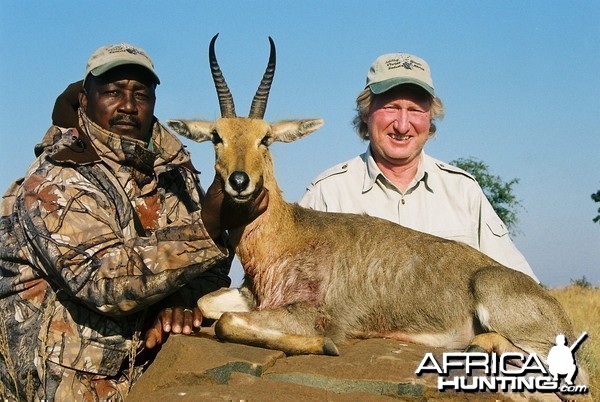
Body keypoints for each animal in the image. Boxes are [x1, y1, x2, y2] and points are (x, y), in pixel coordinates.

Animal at [168, 36, 576, 370]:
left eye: (265, 138)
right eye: (216, 136)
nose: (240, 182)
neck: (290, 235)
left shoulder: (310, 313)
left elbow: (226, 323)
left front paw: (327, 344)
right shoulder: (253, 299)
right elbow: (207, 304)